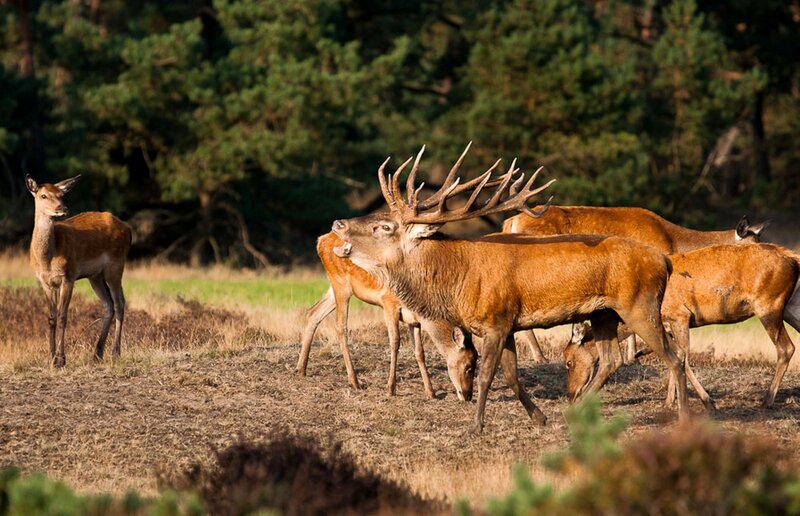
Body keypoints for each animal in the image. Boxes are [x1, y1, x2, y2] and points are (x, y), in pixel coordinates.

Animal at [25, 174, 132, 368]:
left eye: (61, 194)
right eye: (43, 195)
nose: (63, 208)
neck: (47, 259)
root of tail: (128, 229)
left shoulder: (68, 276)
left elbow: (62, 316)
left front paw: (61, 359)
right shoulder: (45, 281)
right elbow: (51, 317)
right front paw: (51, 357)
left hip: (116, 266)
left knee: (119, 303)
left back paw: (115, 353)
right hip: (95, 276)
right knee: (108, 304)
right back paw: (97, 353)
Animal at [297, 231, 436, 399]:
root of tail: (321, 240)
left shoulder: (414, 319)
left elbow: (419, 351)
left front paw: (430, 391)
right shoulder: (388, 303)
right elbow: (395, 342)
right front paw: (391, 388)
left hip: (335, 287)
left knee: (313, 313)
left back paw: (301, 369)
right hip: (341, 285)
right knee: (340, 327)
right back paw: (354, 381)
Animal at [331, 143, 691, 433]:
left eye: (384, 226)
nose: (338, 223)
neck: (457, 280)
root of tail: (664, 261)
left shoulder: (496, 318)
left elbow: (488, 374)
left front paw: (476, 425)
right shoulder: (505, 323)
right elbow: (511, 375)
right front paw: (540, 417)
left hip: (640, 304)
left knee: (674, 357)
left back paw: (685, 418)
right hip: (604, 312)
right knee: (611, 360)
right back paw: (573, 412)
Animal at [503, 206, 769, 365]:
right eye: (751, 245)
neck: (674, 241)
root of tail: (511, 221)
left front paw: (635, 354)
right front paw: (636, 355)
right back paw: (540, 357)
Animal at [564, 243, 800, 409]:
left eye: (568, 362)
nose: (571, 395)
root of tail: (793, 258)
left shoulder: (680, 315)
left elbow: (684, 359)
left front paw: (707, 402)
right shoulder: (668, 323)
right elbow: (674, 358)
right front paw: (669, 402)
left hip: (768, 305)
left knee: (786, 348)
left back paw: (767, 400)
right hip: (789, 307)